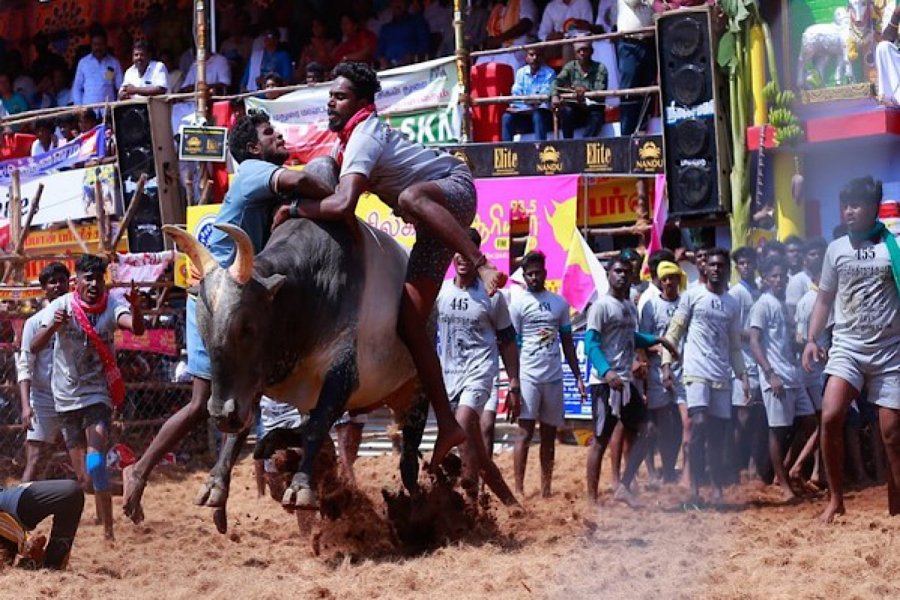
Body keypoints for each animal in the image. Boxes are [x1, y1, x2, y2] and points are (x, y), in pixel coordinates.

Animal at [166, 175, 428, 510]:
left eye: (247, 327)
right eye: (202, 328)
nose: (221, 414)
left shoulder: (342, 374)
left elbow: (316, 428)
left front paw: (301, 486)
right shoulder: (251, 383)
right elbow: (243, 431)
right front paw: (215, 483)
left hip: (415, 391)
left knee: (407, 452)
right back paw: (272, 441)